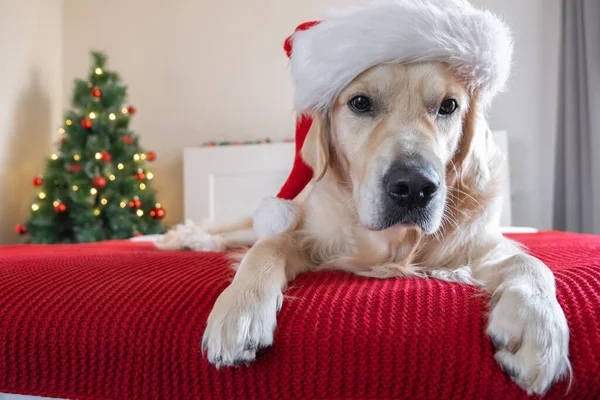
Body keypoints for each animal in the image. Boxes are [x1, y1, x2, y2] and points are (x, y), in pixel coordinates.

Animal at [192, 63, 572, 396]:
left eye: (448, 106)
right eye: (360, 102)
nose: (415, 187)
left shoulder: (476, 249)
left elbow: (531, 264)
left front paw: (538, 325)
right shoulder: (314, 238)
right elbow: (266, 247)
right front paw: (241, 308)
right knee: (244, 233)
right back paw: (193, 239)